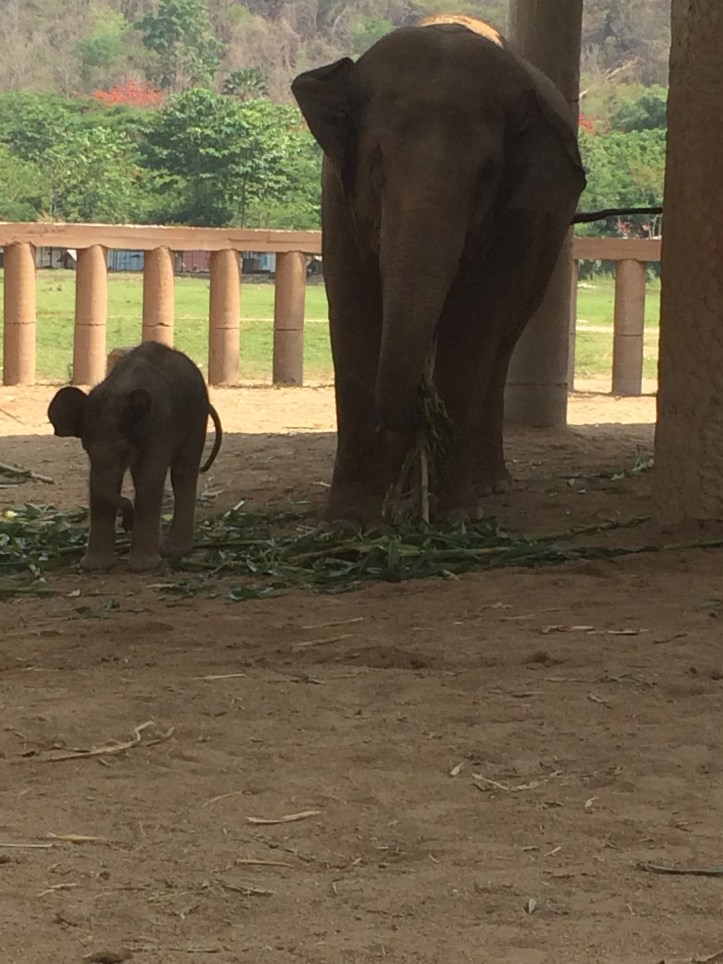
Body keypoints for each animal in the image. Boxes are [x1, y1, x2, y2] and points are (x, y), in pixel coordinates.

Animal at [48, 342, 222, 572]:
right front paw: (94, 567)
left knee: (183, 472)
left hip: (197, 417)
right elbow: (97, 484)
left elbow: (147, 478)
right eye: (86, 449)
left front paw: (143, 567)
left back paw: (173, 551)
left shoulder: (160, 424)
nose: (127, 523)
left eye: (124, 449)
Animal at [291, 22, 586, 523]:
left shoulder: (512, 224)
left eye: (487, 173)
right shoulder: (337, 199)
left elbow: (472, 329)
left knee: (500, 349)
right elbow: (353, 316)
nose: (420, 409)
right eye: (377, 164)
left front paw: (454, 516)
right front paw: (350, 516)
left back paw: (485, 485)